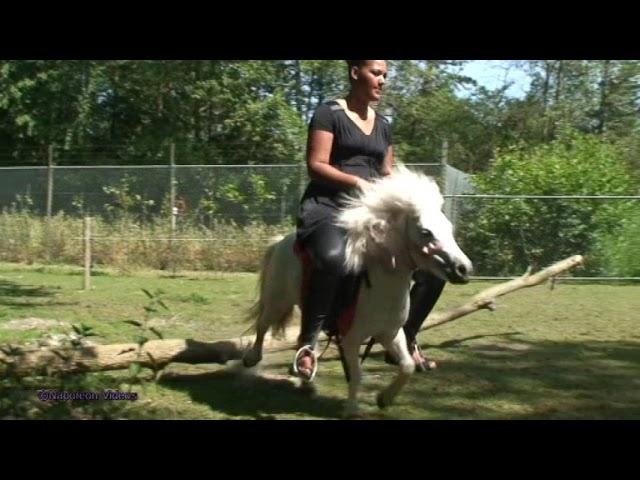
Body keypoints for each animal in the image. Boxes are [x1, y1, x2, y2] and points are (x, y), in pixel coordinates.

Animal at [242, 167, 472, 418]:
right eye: (425, 232)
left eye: (448, 227)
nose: (464, 269)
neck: (380, 285)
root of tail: (281, 242)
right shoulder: (351, 339)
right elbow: (358, 374)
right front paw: (352, 408)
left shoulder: (390, 333)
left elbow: (407, 366)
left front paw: (384, 399)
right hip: (278, 300)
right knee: (263, 325)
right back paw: (252, 359)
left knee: (303, 337)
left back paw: (306, 379)